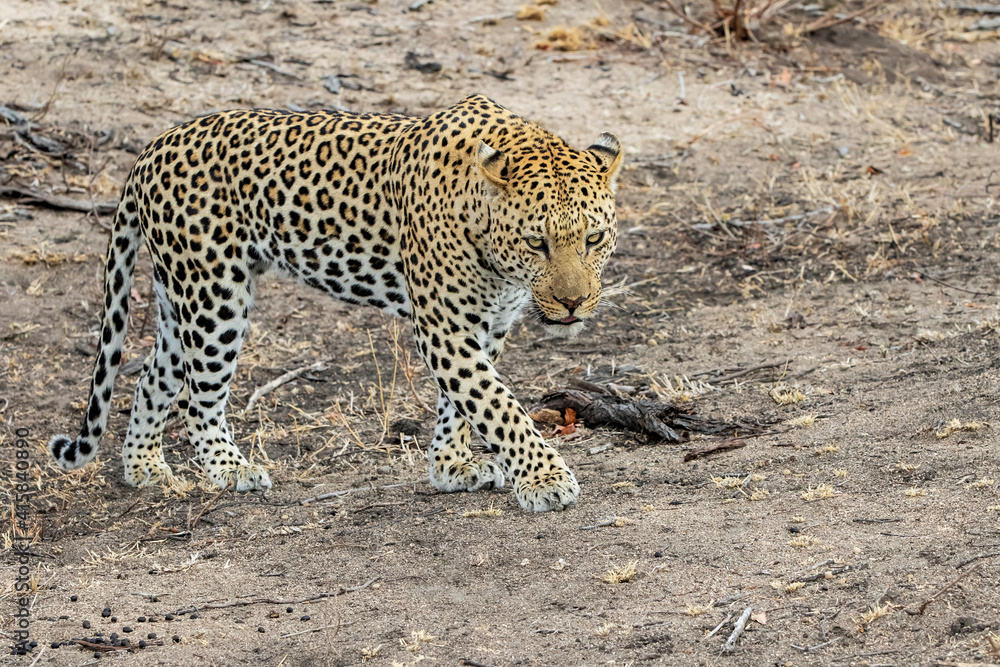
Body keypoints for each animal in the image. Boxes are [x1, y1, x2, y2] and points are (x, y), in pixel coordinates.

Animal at [52, 94, 624, 512]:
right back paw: (230, 469)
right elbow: (495, 404)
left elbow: (462, 403)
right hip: (215, 297)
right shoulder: (444, 326)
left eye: (594, 239)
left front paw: (451, 464)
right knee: (198, 398)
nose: (572, 304)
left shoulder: (490, 322)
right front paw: (545, 477)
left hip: (182, 298)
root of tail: (152, 146)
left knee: (153, 377)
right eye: (537, 242)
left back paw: (143, 467)